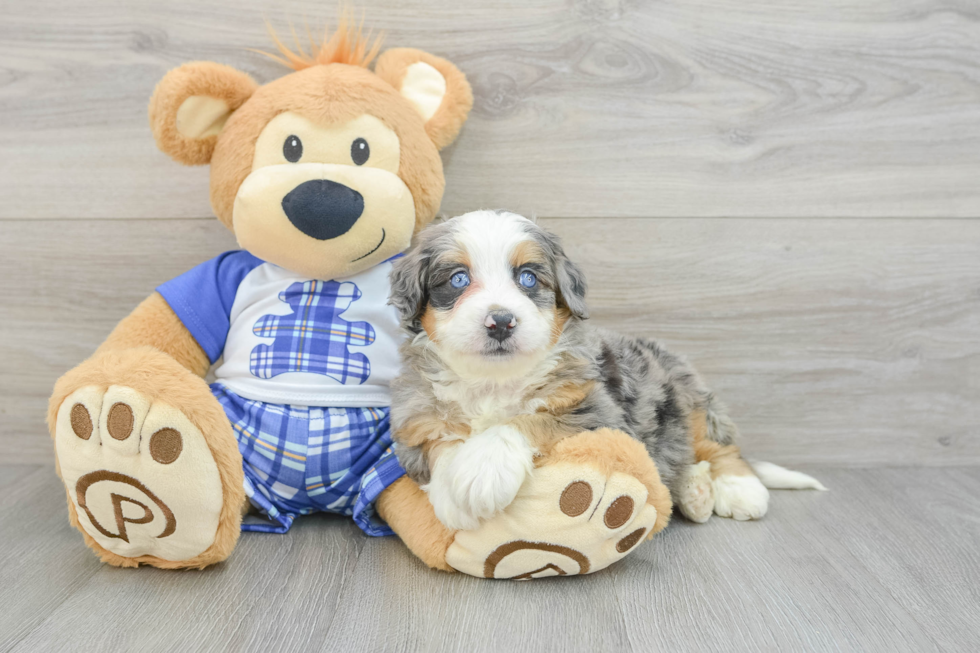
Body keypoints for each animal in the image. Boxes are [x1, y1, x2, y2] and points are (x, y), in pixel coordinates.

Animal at [386, 209, 808, 528]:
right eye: (458, 279)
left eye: (528, 278)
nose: (501, 321)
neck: (494, 381)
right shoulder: (415, 422)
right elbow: (441, 442)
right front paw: (451, 495)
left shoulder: (599, 412)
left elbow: (528, 420)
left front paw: (482, 470)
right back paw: (694, 491)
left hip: (687, 397)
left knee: (719, 445)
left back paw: (739, 490)